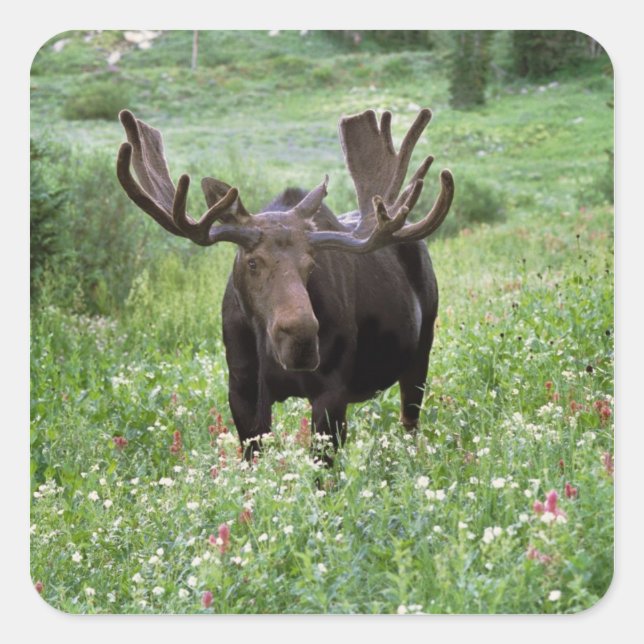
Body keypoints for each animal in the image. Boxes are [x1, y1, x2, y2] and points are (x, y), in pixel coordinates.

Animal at [116, 107, 454, 464]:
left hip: (421, 351)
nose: (302, 338)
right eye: (252, 262)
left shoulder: (331, 391)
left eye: (311, 264)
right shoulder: (242, 389)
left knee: (410, 422)